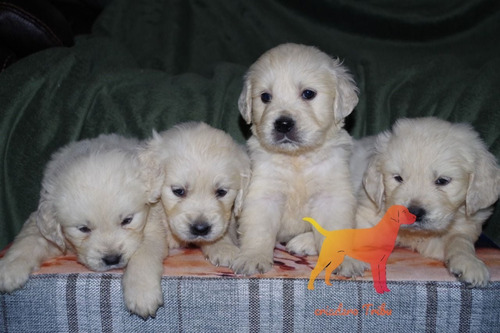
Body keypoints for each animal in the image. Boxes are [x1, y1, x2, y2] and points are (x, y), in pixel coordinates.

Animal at [0, 134, 168, 318]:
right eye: (83, 229)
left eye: (127, 220)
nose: (112, 259)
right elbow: (28, 239)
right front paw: (9, 269)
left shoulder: (152, 226)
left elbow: (144, 252)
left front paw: (142, 293)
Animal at [232, 42, 366, 274]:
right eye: (265, 97)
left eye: (308, 94)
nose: (283, 124)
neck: (297, 159)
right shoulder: (264, 193)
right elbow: (259, 230)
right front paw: (253, 257)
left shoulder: (331, 196)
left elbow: (335, 229)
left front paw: (343, 260)